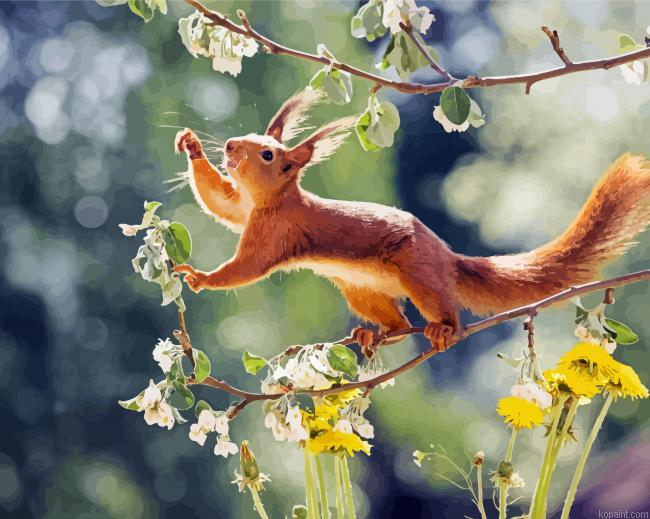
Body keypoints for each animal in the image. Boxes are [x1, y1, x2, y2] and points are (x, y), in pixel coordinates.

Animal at [173, 88, 650, 353]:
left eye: (268, 154)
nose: (229, 147)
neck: (271, 200)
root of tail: (446, 255)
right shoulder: (245, 210)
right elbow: (222, 204)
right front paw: (191, 145)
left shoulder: (274, 232)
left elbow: (245, 268)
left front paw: (199, 277)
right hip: (362, 290)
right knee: (401, 326)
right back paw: (374, 336)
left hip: (417, 273)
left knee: (442, 314)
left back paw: (443, 331)